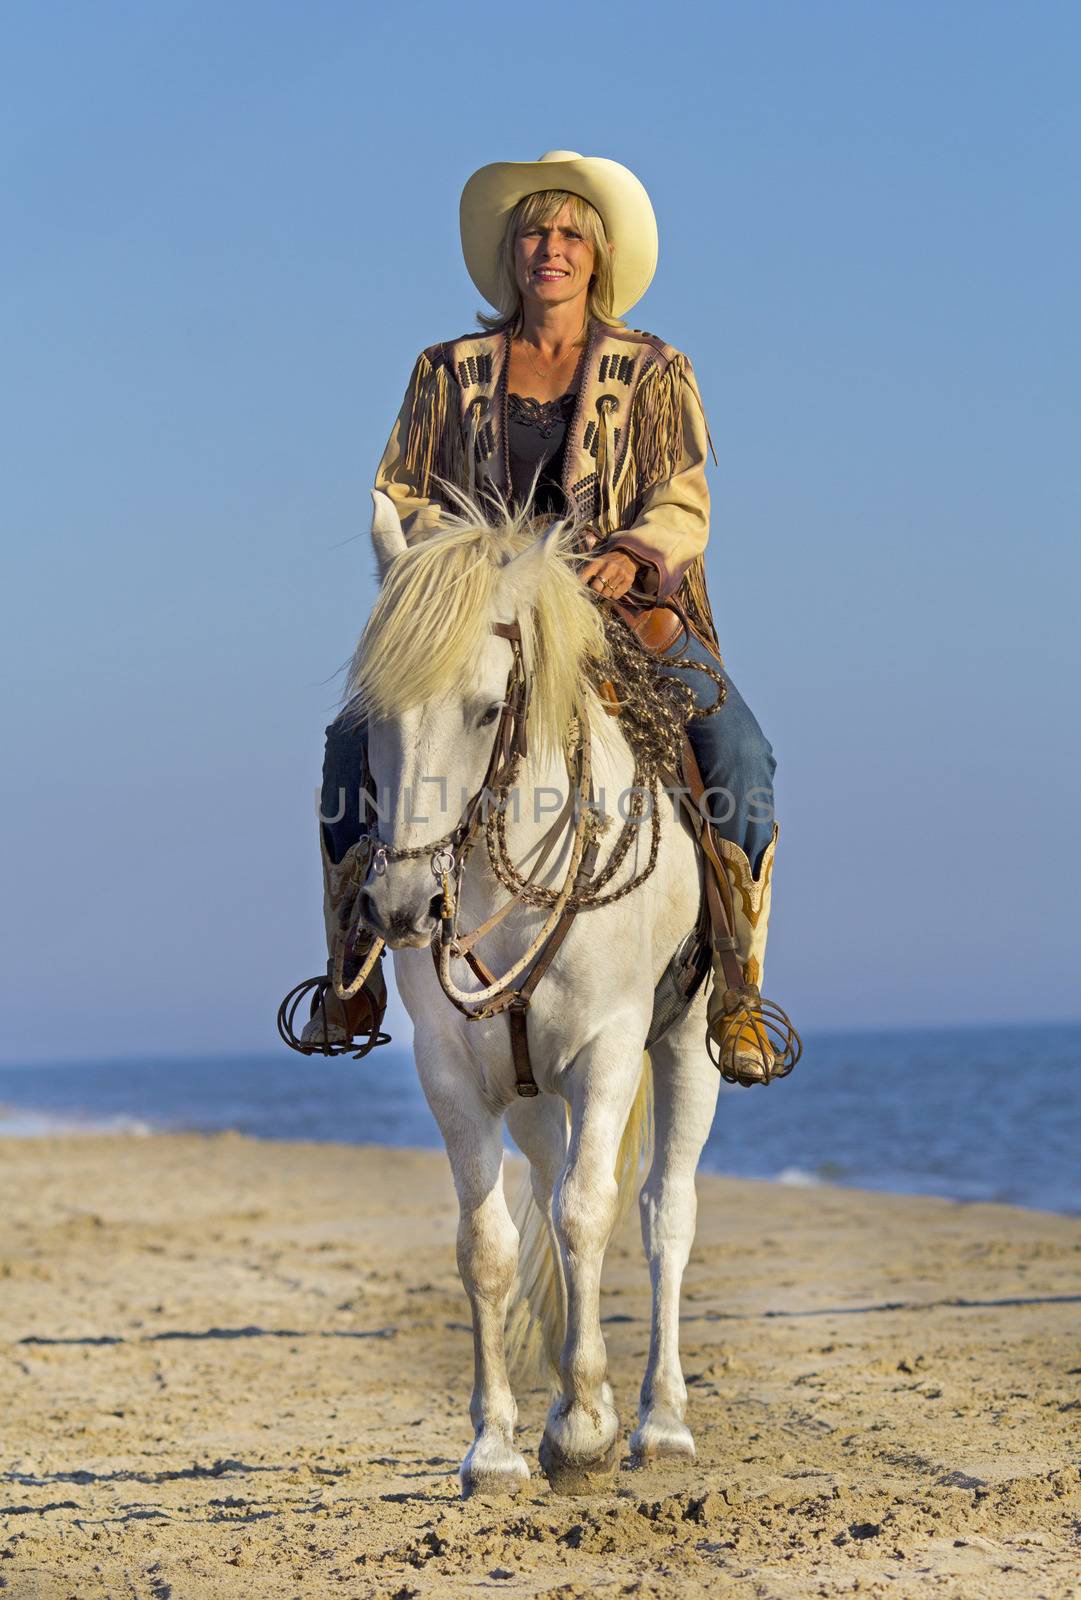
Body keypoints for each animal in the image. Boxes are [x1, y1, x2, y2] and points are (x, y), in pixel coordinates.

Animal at [350, 486, 722, 1497]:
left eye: (487, 711)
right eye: (371, 717)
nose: (404, 906)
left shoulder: (608, 1051)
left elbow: (590, 1215)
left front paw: (587, 1433)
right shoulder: (452, 1073)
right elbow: (487, 1245)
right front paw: (496, 1447)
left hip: (686, 1047)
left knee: (661, 1215)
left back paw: (658, 1423)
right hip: (527, 1094)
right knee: (553, 1196)